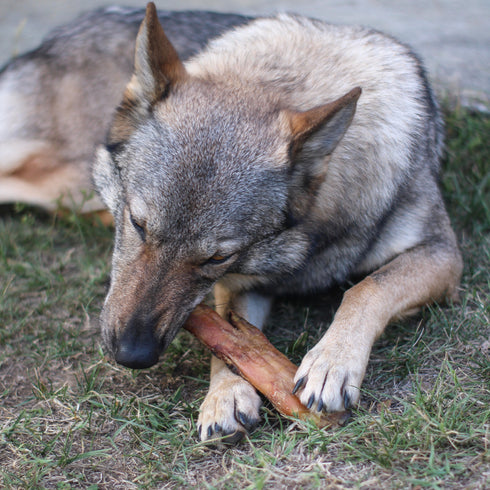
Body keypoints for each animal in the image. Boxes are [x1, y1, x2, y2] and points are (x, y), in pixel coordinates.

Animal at [90, 2, 462, 440]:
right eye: (138, 224)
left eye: (217, 257)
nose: (133, 354)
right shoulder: (242, 283)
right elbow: (228, 331)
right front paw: (226, 394)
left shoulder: (443, 254)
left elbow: (367, 288)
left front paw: (331, 362)